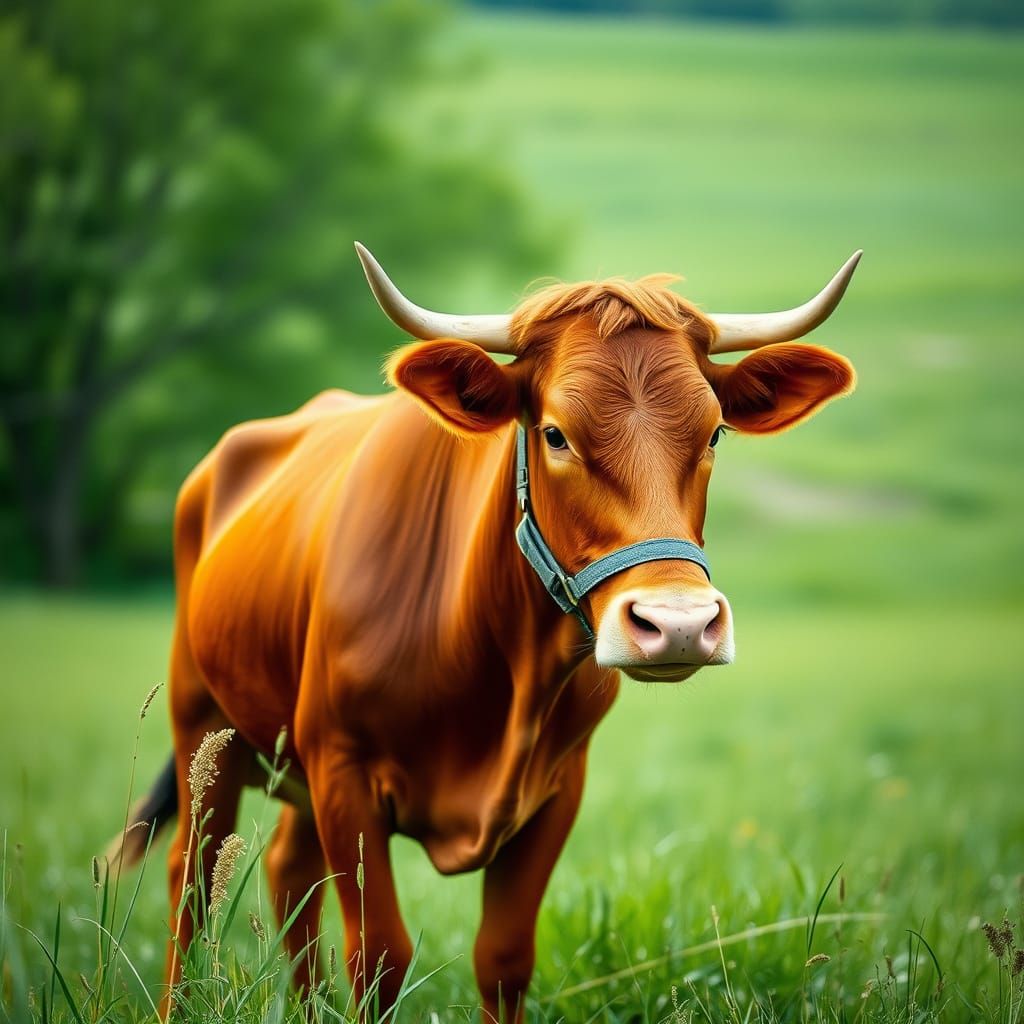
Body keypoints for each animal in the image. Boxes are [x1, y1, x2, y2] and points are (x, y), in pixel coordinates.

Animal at [112, 244, 860, 1021]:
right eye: (555, 434)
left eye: (713, 432)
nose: (679, 624)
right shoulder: (342, 770)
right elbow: (379, 955)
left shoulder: (557, 787)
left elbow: (502, 957)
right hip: (204, 727)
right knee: (191, 878)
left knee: (289, 867)